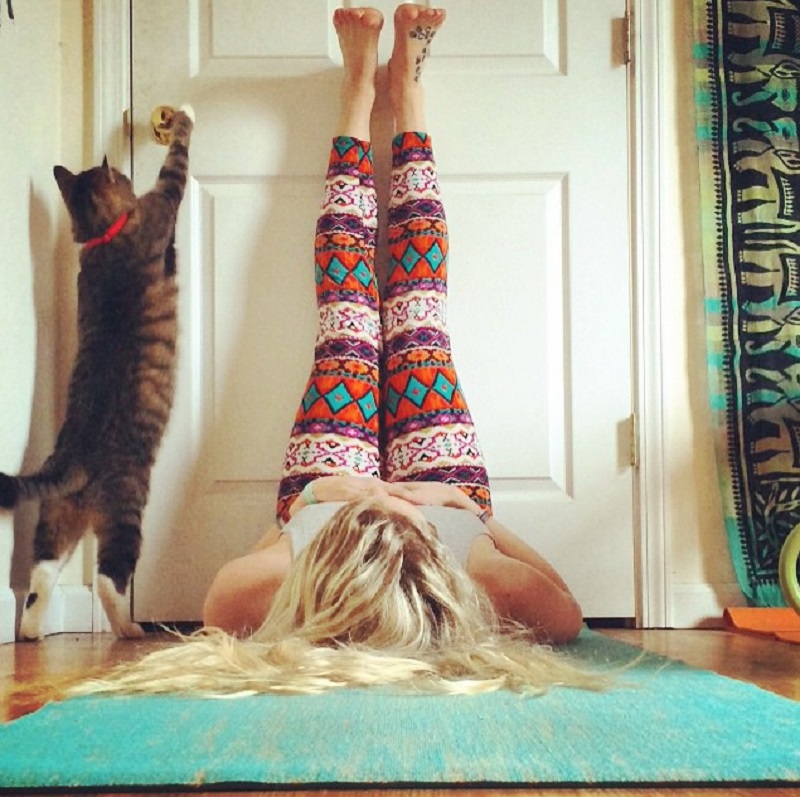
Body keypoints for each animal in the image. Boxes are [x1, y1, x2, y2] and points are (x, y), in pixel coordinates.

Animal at [0, 104, 194, 640]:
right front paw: (185, 116)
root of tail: (73, 459)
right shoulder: (163, 202)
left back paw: (31, 631)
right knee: (110, 579)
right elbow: (176, 163)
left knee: (41, 573)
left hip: (56, 516)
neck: (107, 236)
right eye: (126, 177)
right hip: (126, 510)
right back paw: (130, 632)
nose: (125, 170)